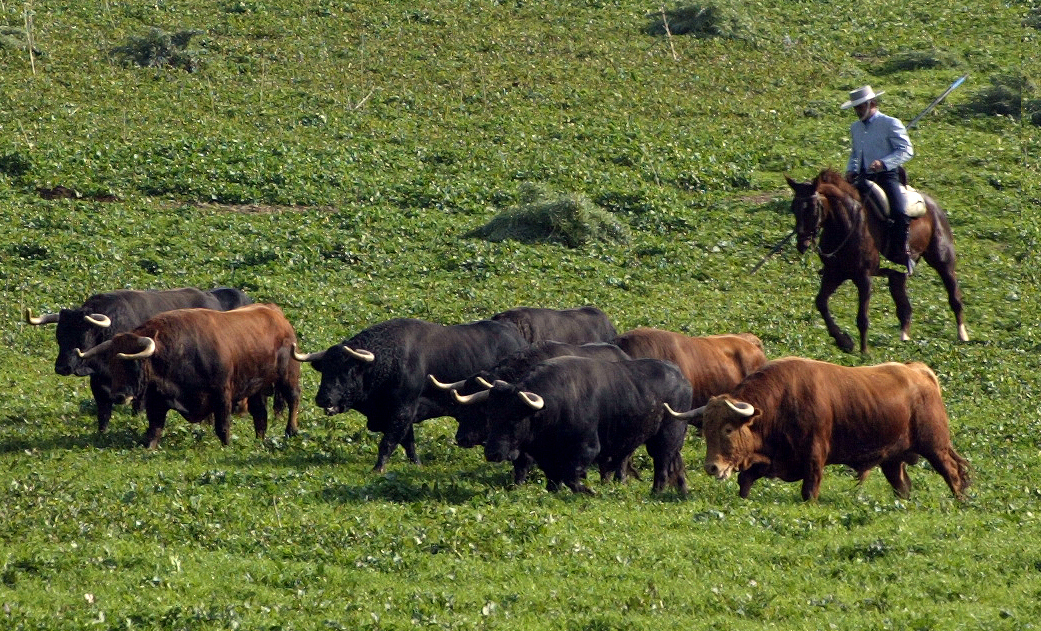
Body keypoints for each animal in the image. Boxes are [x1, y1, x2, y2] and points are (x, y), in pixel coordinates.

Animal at [75, 306, 297, 449]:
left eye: (133, 363)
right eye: (112, 364)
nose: (118, 396)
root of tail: (278, 316)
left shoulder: (222, 395)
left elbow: (222, 426)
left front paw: (227, 446)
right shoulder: (157, 401)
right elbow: (154, 429)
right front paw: (149, 448)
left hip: (288, 376)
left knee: (293, 399)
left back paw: (291, 431)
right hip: (257, 388)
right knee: (260, 415)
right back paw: (260, 440)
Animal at [670, 358, 970, 501]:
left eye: (729, 429)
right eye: (706, 429)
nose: (712, 467)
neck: (781, 402)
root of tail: (918, 371)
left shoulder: (814, 457)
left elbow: (809, 490)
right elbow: (745, 482)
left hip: (935, 446)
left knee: (953, 472)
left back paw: (960, 501)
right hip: (893, 459)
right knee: (902, 485)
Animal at [782, 169, 970, 356]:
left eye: (812, 208)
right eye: (793, 207)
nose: (802, 243)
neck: (847, 226)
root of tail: (933, 206)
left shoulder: (864, 278)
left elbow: (862, 317)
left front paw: (864, 351)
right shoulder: (834, 273)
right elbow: (821, 303)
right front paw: (844, 341)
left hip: (943, 262)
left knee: (954, 296)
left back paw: (962, 335)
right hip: (897, 275)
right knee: (904, 306)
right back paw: (904, 337)